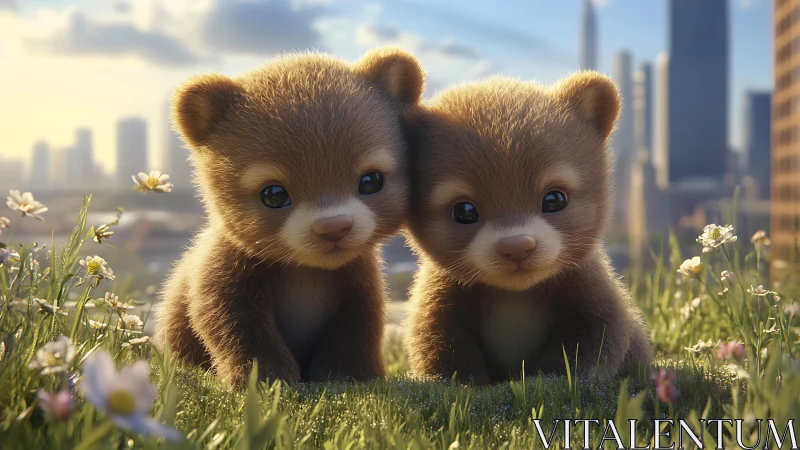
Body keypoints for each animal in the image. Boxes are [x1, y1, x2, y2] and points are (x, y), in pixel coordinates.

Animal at [154, 48, 425, 385]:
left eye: (371, 180)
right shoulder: (224, 273)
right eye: (273, 194)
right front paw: (264, 376)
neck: (305, 270)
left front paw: (349, 374)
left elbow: (357, 326)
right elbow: (231, 323)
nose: (333, 227)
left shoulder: (357, 283)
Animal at [403, 72, 653, 385]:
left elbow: (597, 337)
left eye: (555, 199)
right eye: (464, 211)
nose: (516, 246)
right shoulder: (441, 296)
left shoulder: (588, 288)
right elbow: (438, 343)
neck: (515, 295)